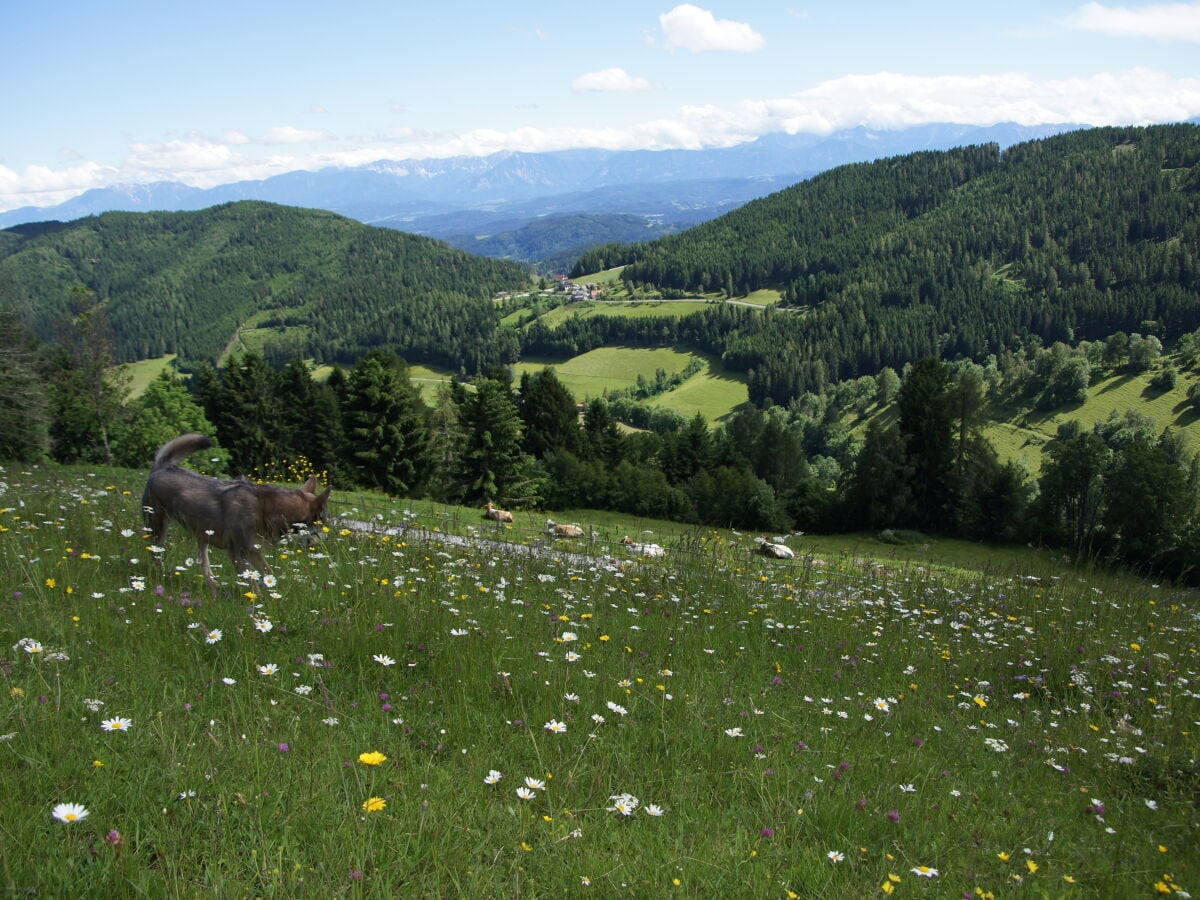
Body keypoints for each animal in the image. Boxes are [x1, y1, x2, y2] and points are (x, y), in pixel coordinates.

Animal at [142, 434, 331, 595]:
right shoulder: (237, 553)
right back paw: (160, 575)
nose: (328, 539)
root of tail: (164, 466)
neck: (266, 509)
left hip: (202, 534)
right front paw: (257, 601)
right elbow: (253, 582)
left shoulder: (254, 551)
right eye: (323, 521)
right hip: (158, 528)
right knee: (155, 554)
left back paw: (213, 587)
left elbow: (267, 573)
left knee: (203, 562)